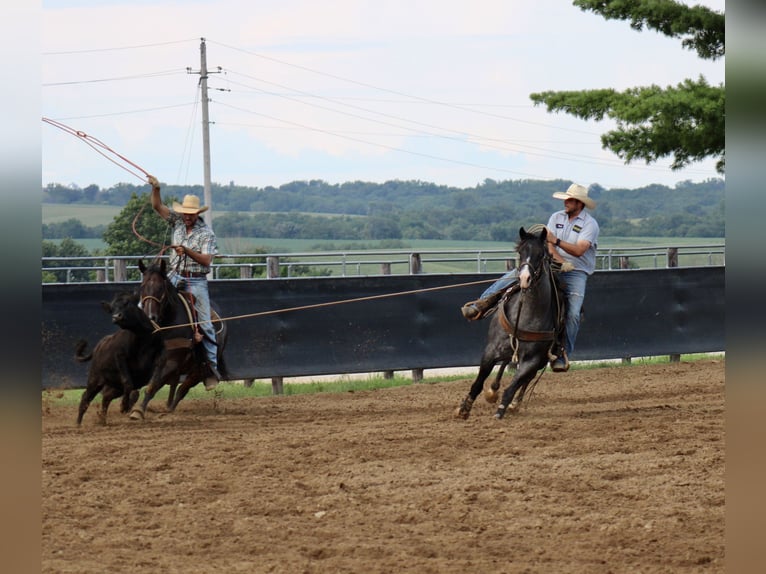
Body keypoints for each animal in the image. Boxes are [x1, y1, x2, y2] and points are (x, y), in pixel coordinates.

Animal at [129, 258, 230, 420]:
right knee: (175, 385)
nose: (150, 317)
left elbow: (152, 386)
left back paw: (169, 409)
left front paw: (138, 411)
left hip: (197, 369)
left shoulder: (170, 362)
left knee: (183, 388)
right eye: (142, 287)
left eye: (160, 288)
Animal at [456, 227, 564, 420]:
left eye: (541, 254)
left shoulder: (532, 360)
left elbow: (513, 386)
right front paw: (464, 408)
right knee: (506, 363)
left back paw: (514, 403)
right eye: (520, 252)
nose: (524, 278)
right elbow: (479, 381)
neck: (526, 315)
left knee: (526, 379)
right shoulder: (491, 350)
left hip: (541, 359)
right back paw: (493, 390)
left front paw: (501, 410)